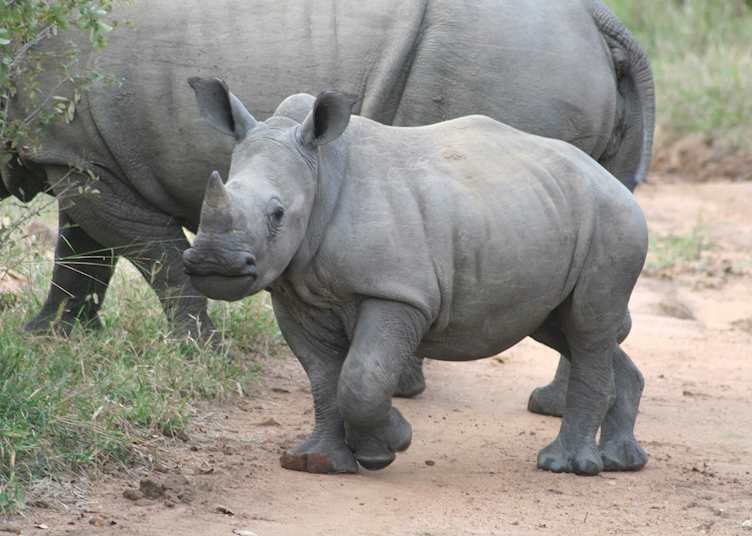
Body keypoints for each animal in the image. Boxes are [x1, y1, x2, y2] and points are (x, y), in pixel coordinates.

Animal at [2, 0, 654, 415]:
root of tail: (597, 20)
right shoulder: (76, 155)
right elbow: (82, 250)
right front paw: (51, 337)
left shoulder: (79, 153)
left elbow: (149, 254)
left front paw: (197, 353)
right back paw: (552, 409)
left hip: (505, 62)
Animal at [182, 79, 649, 475]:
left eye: (278, 214)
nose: (212, 261)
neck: (321, 174)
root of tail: (613, 181)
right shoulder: (296, 294)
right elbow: (322, 376)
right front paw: (317, 462)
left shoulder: (399, 292)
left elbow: (361, 377)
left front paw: (389, 445)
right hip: (544, 212)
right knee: (561, 327)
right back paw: (622, 462)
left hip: (613, 220)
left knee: (587, 327)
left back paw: (565, 466)